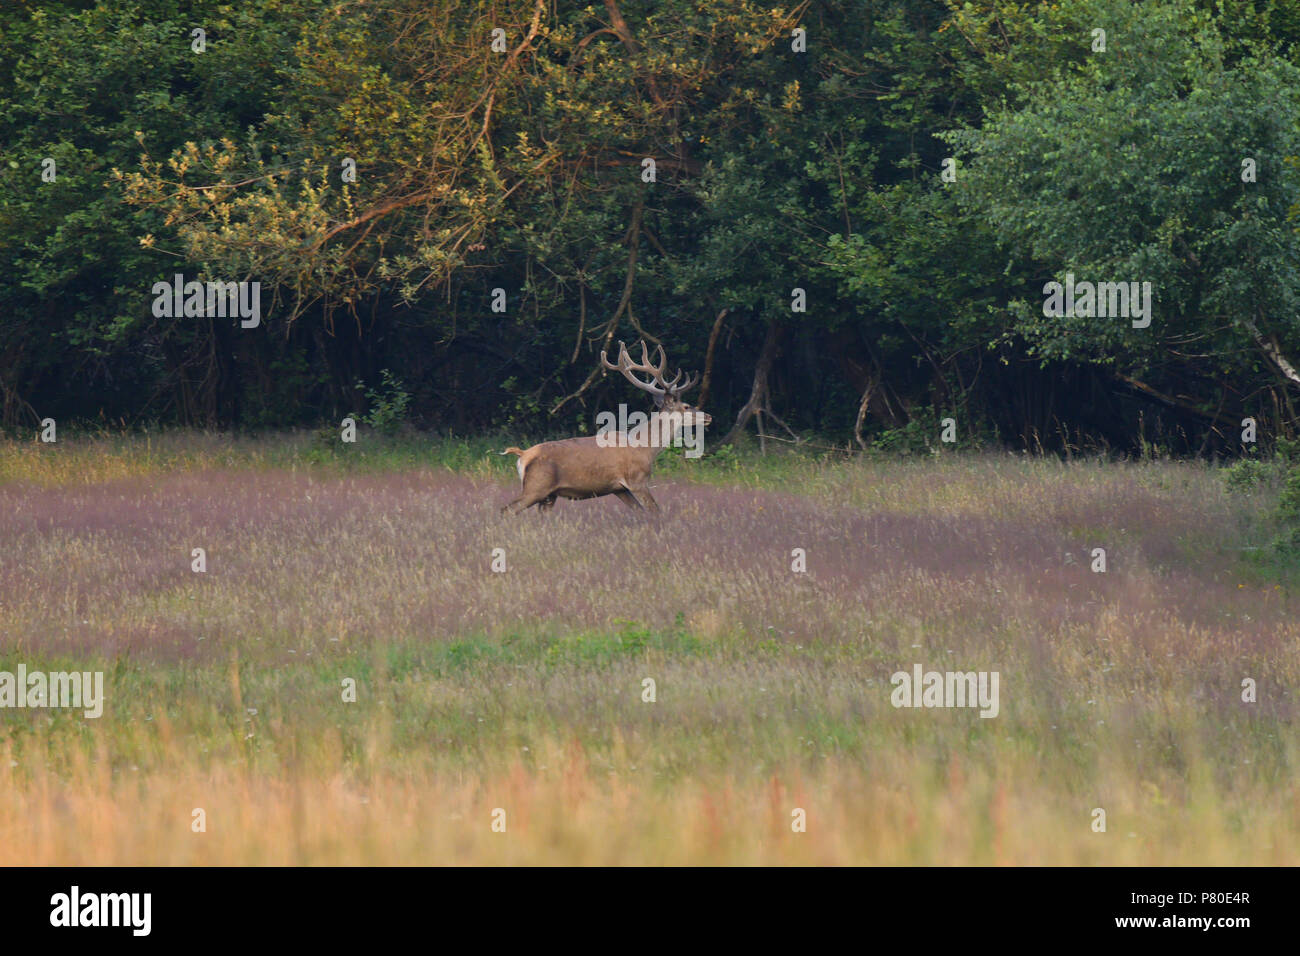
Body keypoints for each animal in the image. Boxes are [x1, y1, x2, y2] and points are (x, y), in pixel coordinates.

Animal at [500, 340, 712, 514]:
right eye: (686, 406)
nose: (708, 416)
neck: (646, 448)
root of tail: (523, 455)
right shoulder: (637, 480)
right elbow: (655, 512)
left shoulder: (619, 489)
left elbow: (640, 513)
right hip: (536, 486)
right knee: (506, 509)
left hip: (549, 495)